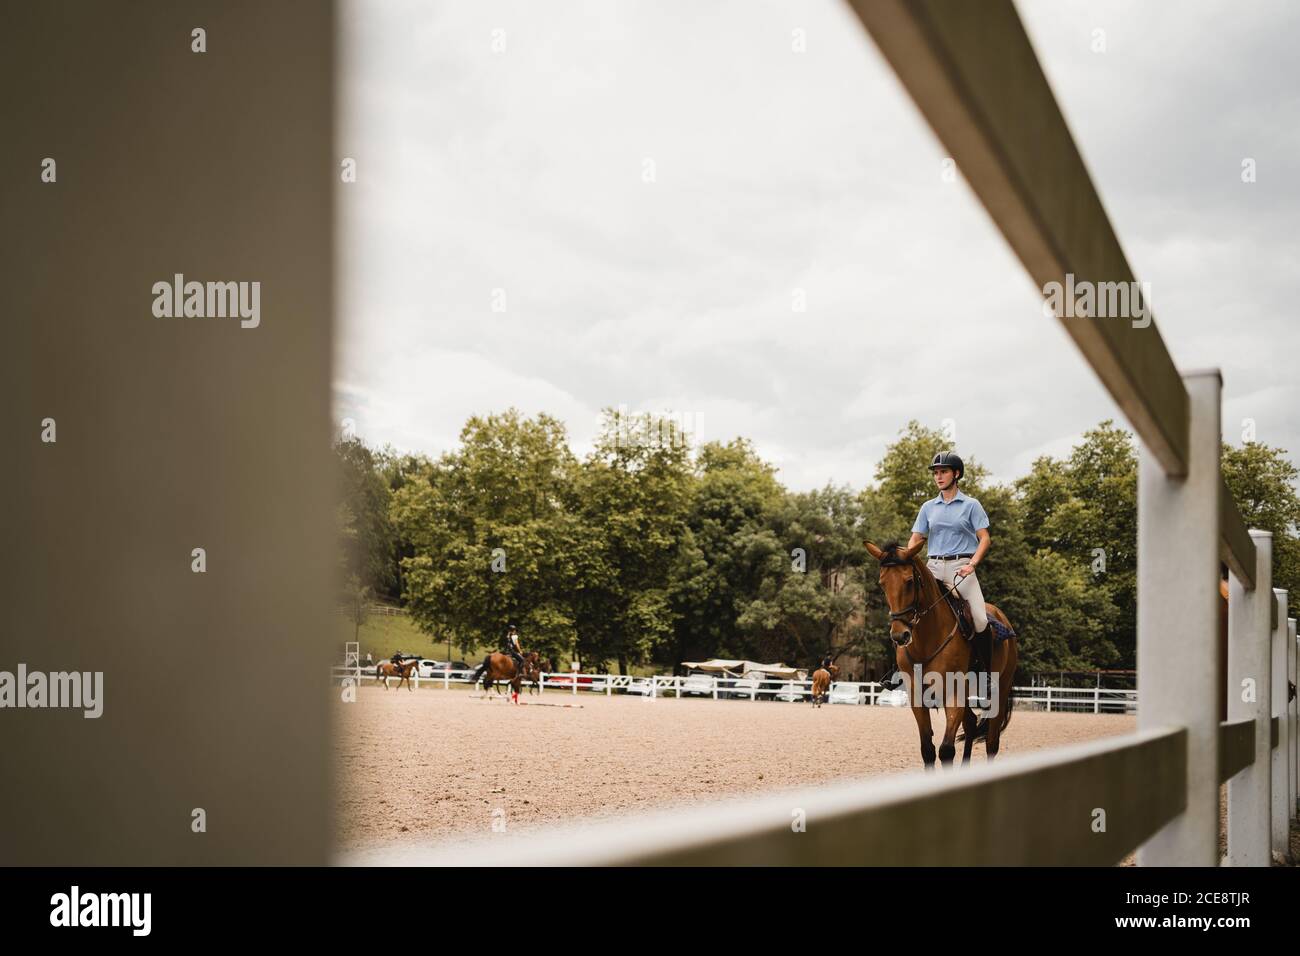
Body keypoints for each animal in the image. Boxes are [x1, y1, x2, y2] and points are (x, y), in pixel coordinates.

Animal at [868, 538, 1019, 770]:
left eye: (909, 581)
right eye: (882, 583)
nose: (900, 636)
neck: (927, 640)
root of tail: (1002, 617)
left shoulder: (954, 692)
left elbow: (946, 750)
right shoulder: (916, 695)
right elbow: (928, 750)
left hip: (999, 693)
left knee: (992, 743)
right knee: (971, 724)